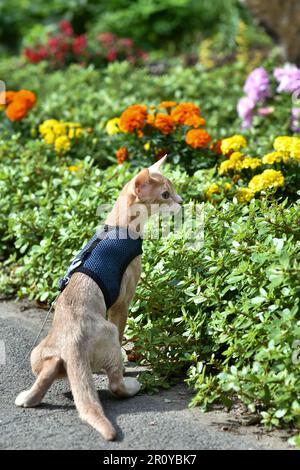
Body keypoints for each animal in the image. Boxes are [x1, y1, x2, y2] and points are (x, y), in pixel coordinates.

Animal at [15, 157, 183, 440]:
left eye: (173, 190)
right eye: (165, 194)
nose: (181, 200)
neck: (118, 227)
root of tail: (71, 347)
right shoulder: (122, 303)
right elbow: (123, 328)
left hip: (36, 355)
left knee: (45, 377)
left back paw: (27, 396)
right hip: (109, 336)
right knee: (115, 385)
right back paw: (131, 384)